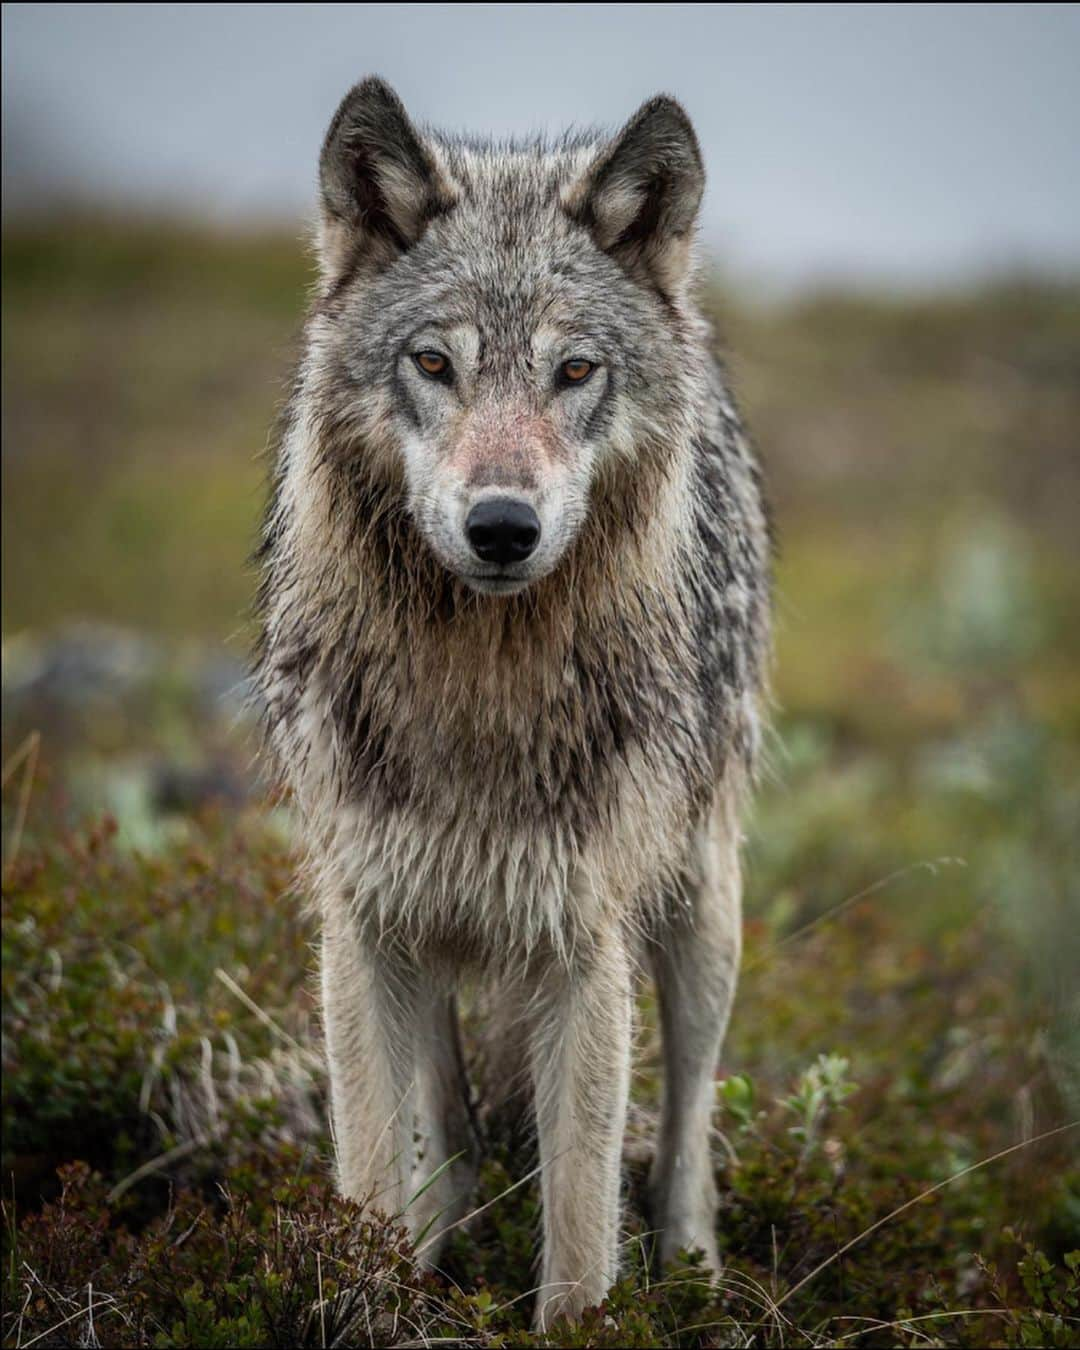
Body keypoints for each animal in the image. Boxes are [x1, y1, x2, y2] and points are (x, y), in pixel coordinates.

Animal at [256, 76, 772, 1328]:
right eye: (434, 364)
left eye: (572, 372)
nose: (501, 527)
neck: (479, 700)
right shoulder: (362, 931)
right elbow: (369, 1176)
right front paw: (374, 1303)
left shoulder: (587, 950)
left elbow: (582, 1227)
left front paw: (586, 1327)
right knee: (443, 1145)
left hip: (700, 917)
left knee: (688, 1123)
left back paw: (695, 1276)